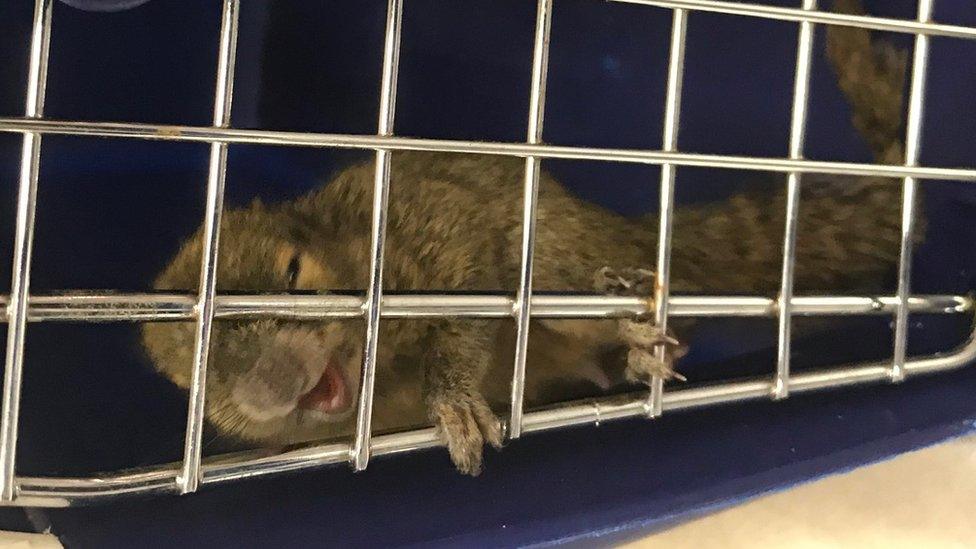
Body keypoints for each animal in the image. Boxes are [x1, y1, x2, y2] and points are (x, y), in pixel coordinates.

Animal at [139, 0, 916, 474]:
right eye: (199, 373)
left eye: (295, 272)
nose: (278, 378)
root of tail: (627, 229)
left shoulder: (429, 232)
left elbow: (471, 294)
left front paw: (450, 394)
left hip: (565, 244)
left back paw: (619, 328)